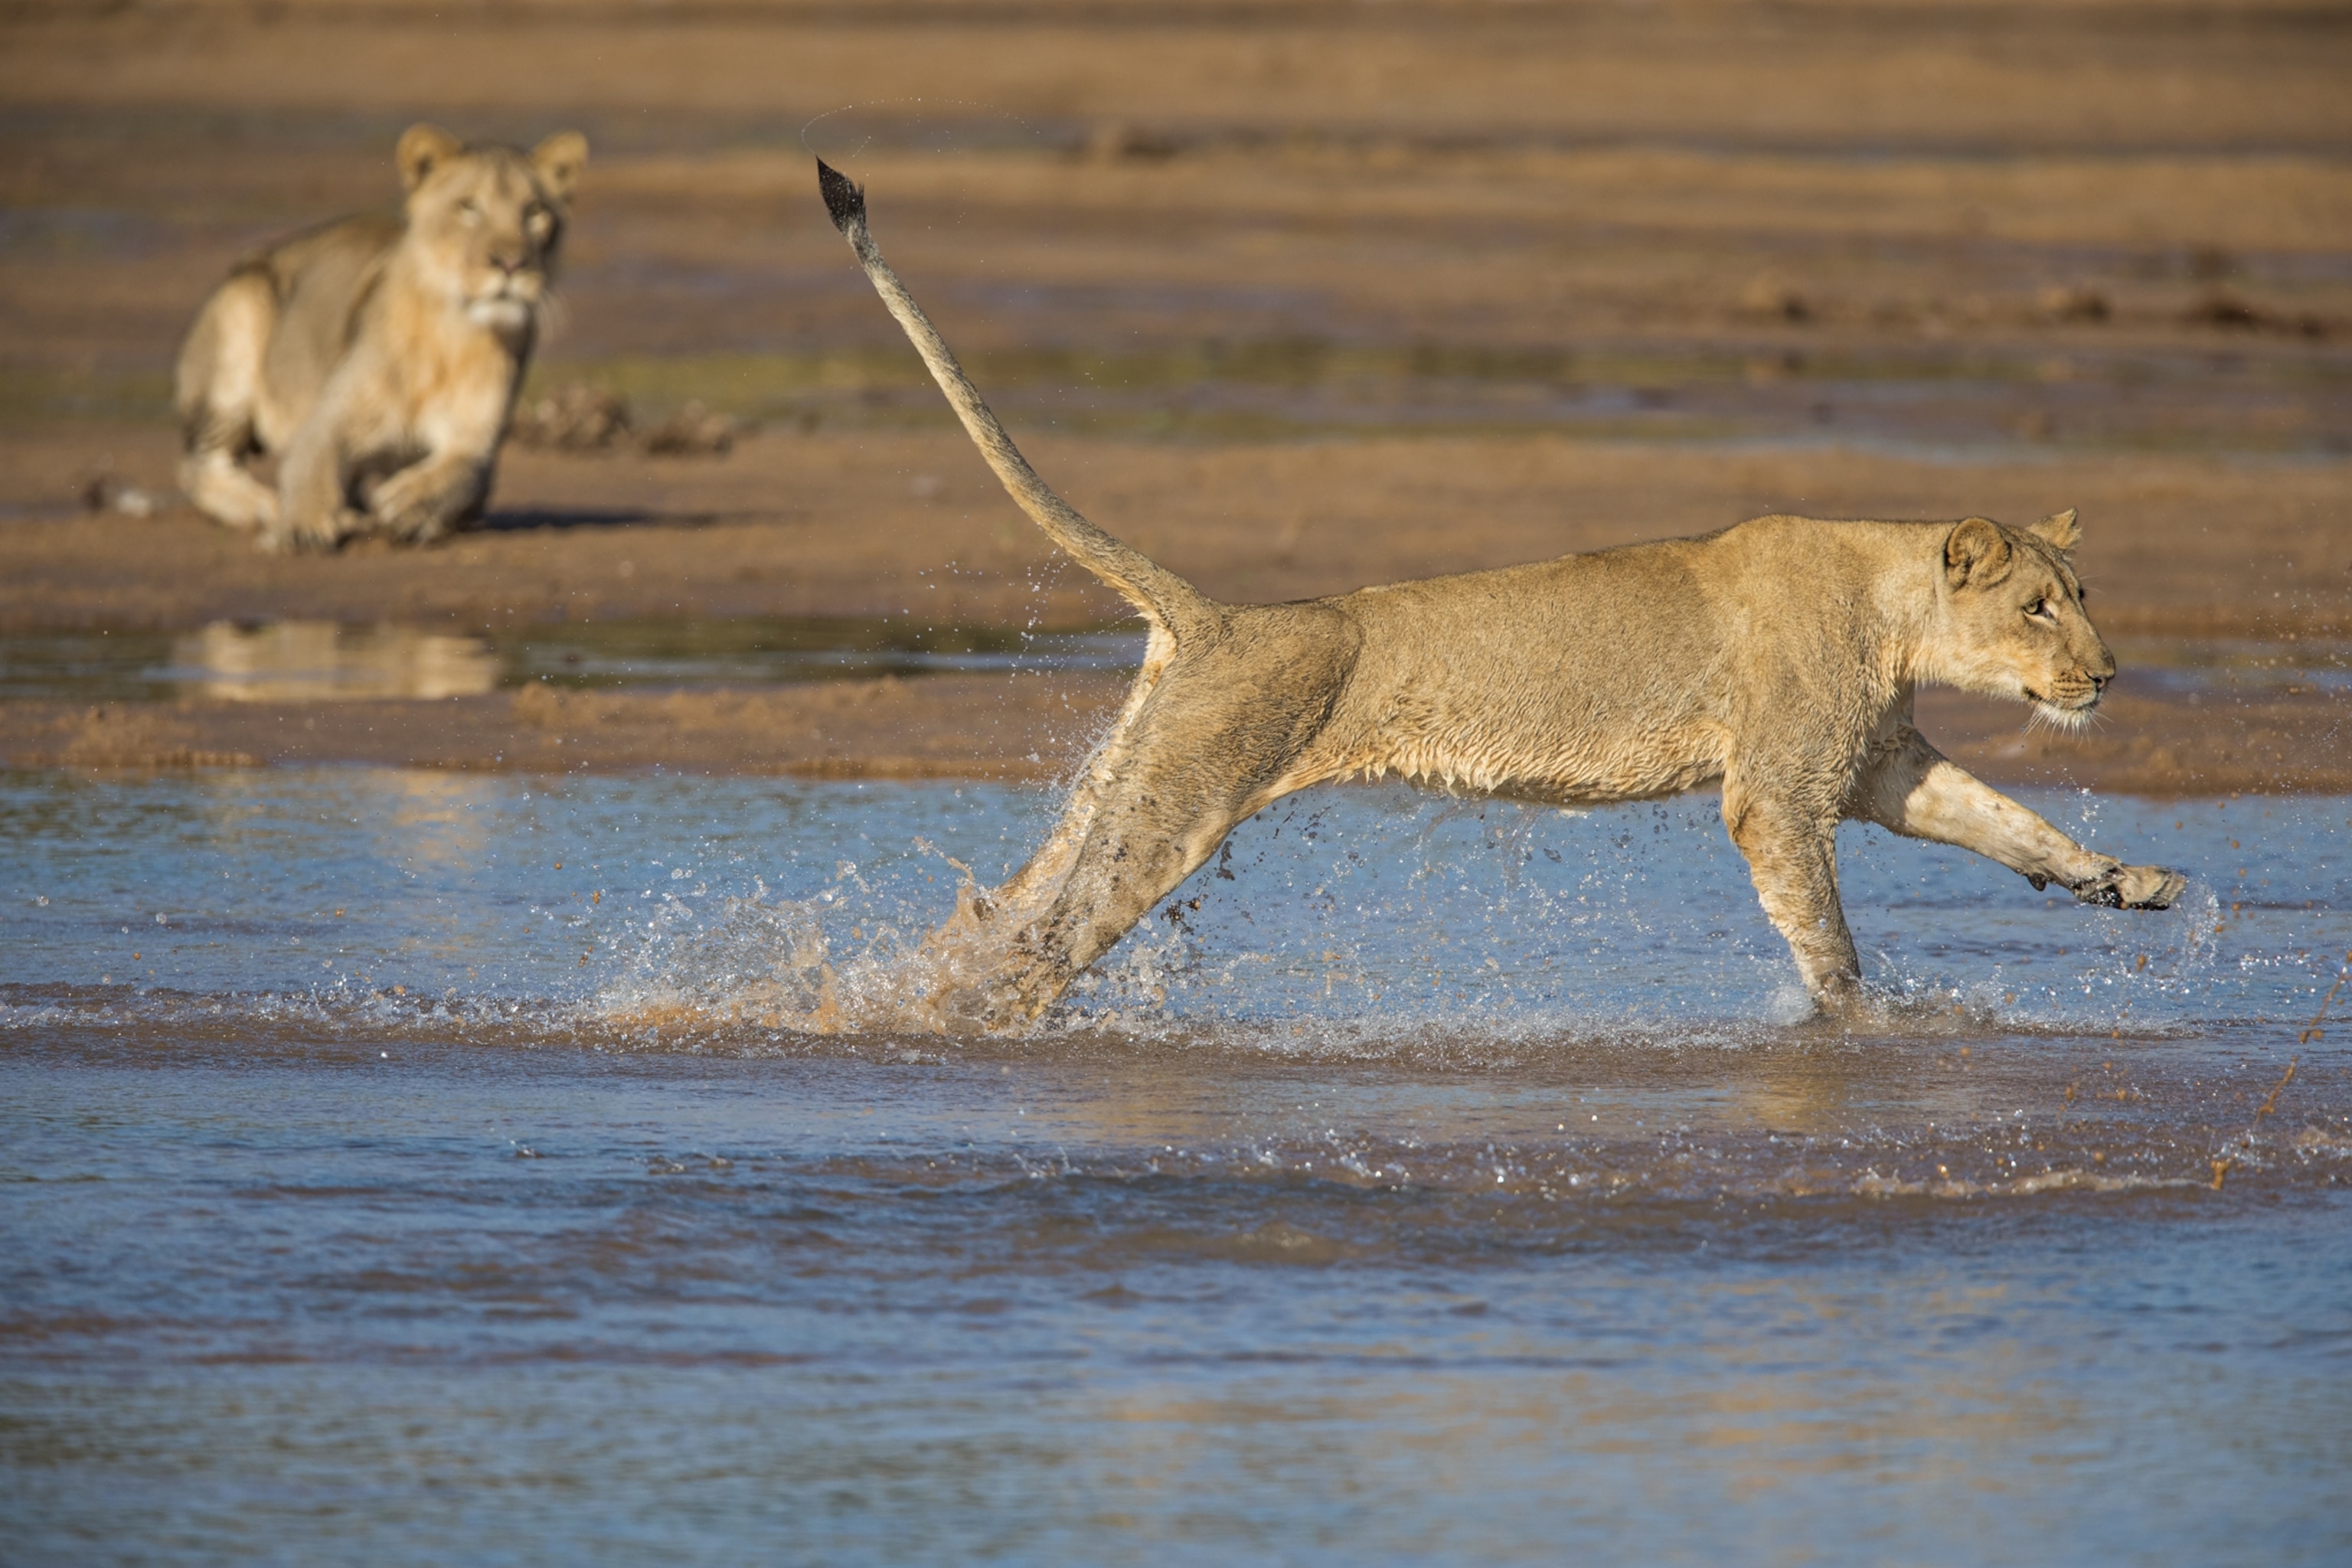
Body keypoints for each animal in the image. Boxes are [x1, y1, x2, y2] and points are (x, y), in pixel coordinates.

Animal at [174, 123, 587, 551]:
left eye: (535, 211)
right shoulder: (326, 422)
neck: (454, 335)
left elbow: (464, 474)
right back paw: (264, 506)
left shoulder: (477, 441)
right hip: (242, 312)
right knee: (196, 466)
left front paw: (412, 504)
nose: (511, 264)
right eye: (468, 207)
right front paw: (305, 525)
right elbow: (310, 466)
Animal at [815, 160, 2188, 1029]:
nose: (2107, 676)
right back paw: (988, 1018)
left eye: (2078, 594)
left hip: (1121, 781)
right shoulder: (1779, 791)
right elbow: (1826, 929)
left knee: (1002, 905)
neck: (1894, 612)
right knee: (1054, 936)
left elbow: (2010, 821)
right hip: (1179, 806)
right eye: (2040, 607)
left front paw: (2129, 883)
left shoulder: (1880, 766)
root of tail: (1220, 616)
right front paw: (1867, 1025)